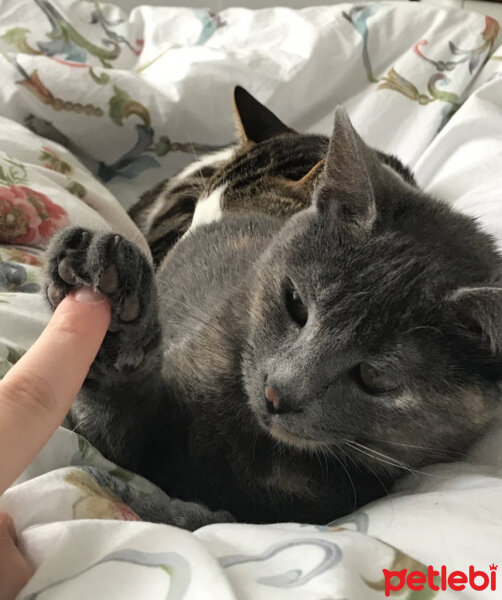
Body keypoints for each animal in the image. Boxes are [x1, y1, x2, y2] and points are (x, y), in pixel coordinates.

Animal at [44, 86, 502, 528]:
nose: (277, 393)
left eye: (374, 377)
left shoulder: (319, 503)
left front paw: (167, 512)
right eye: (295, 302)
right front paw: (110, 304)